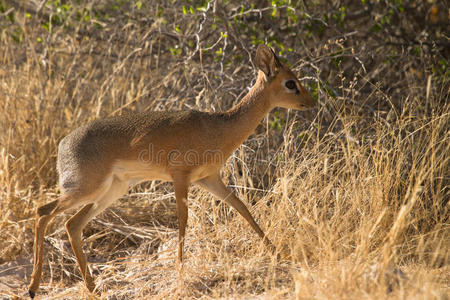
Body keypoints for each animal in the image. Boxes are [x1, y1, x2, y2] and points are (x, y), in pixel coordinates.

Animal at [28, 44, 314, 298]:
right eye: (290, 83)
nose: (310, 101)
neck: (219, 127)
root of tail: (63, 144)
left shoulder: (209, 179)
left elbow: (243, 208)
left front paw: (278, 253)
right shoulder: (181, 177)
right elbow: (183, 221)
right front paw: (180, 270)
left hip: (111, 191)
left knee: (72, 224)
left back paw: (93, 288)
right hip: (86, 188)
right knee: (43, 211)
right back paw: (33, 288)